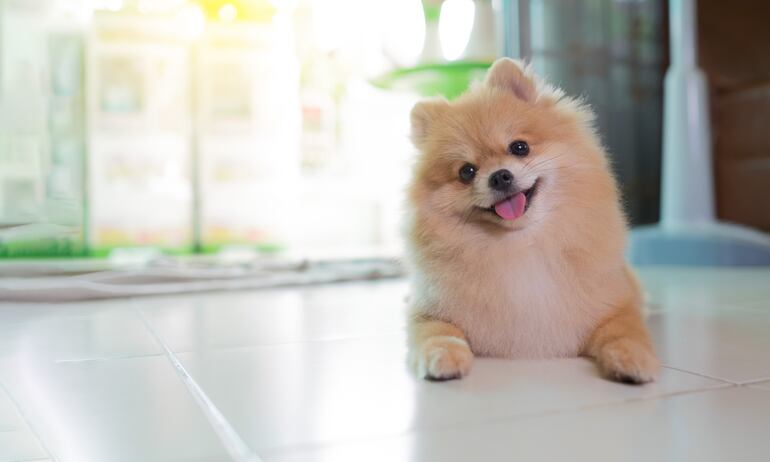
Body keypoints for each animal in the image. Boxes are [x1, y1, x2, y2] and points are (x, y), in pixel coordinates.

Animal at [404, 56, 656, 382]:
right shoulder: (432, 310)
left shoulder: (614, 305)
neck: (521, 244)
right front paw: (442, 356)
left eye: (519, 147)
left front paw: (632, 358)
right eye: (466, 172)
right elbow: (438, 331)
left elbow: (626, 330)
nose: (500, 176)